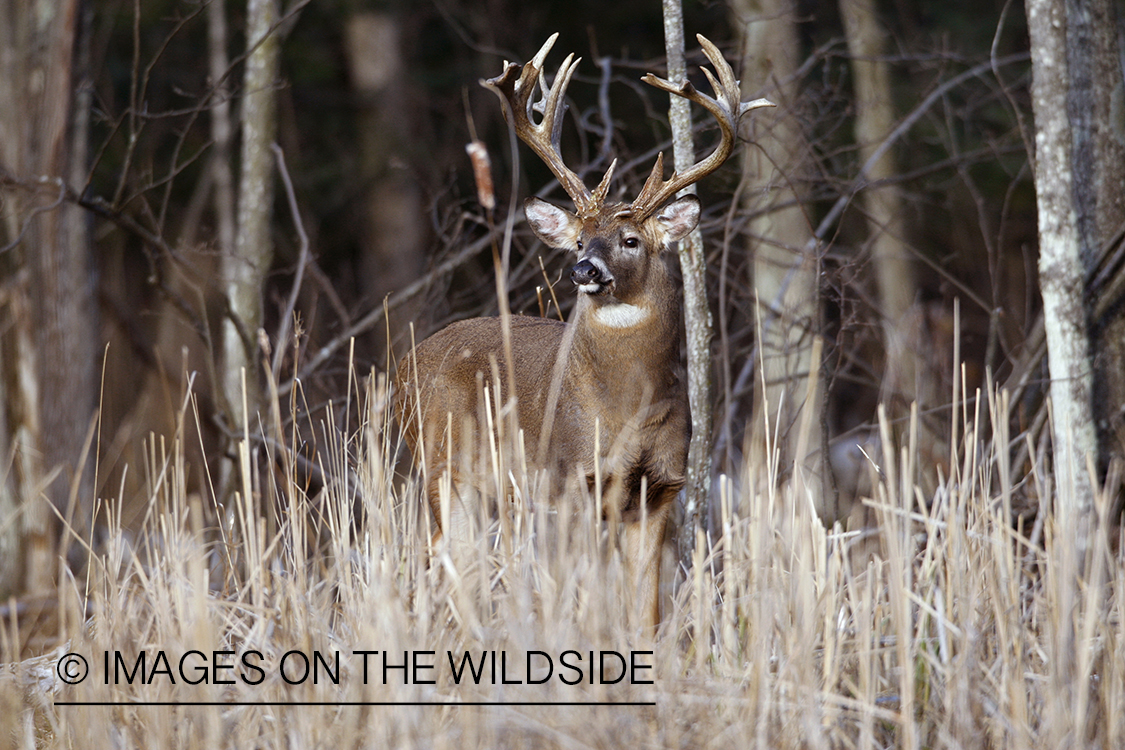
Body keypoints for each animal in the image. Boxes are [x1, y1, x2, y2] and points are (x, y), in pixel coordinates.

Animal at [396, 36, 774, 634]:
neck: (629, 406)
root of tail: (401, 366)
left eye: (630, 241)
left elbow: (645, 609)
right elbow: (586, 597)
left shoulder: (659, 489)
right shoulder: (571, 479)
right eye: (578, 241)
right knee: (438, 564)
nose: (583, 270)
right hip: (441, 464)